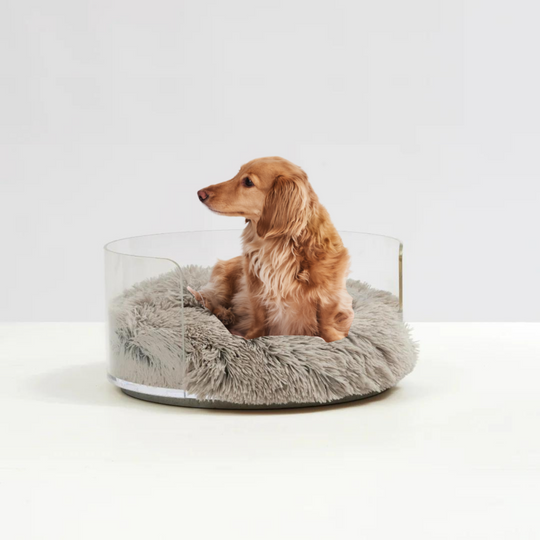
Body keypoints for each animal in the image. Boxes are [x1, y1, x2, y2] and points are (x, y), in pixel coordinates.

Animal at [188, 156, 356, 342]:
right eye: (237, 173)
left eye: (248, 181)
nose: (200, 194)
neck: (279, 246)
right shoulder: (255, 291)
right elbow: (259, 317)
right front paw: (252, 337)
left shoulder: (330, 297)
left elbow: (326, 320)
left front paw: (334, 340)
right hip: (223, 283)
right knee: (209, 300)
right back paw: (224, 314)